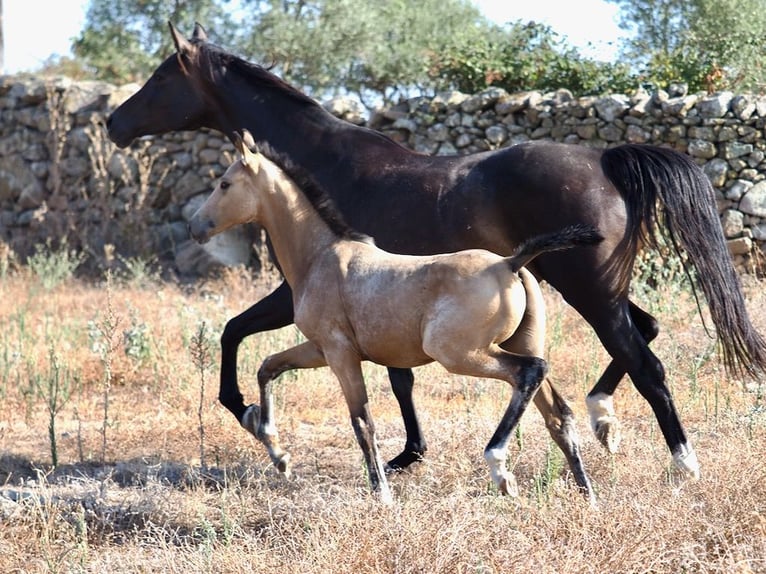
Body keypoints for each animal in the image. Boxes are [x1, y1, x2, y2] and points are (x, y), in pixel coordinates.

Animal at [106, 24, 766, 488]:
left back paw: (681, 465)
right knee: (643, 332)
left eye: (162, 77)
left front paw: (248, 412)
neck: (327, 163)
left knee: (645, 361)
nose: (112, 122)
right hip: (593, 284)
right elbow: (395, 376)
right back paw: (602, 419)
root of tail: (606, 158)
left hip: (589, 290)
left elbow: (233, 332)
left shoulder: (308, 295)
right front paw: (406, 454)